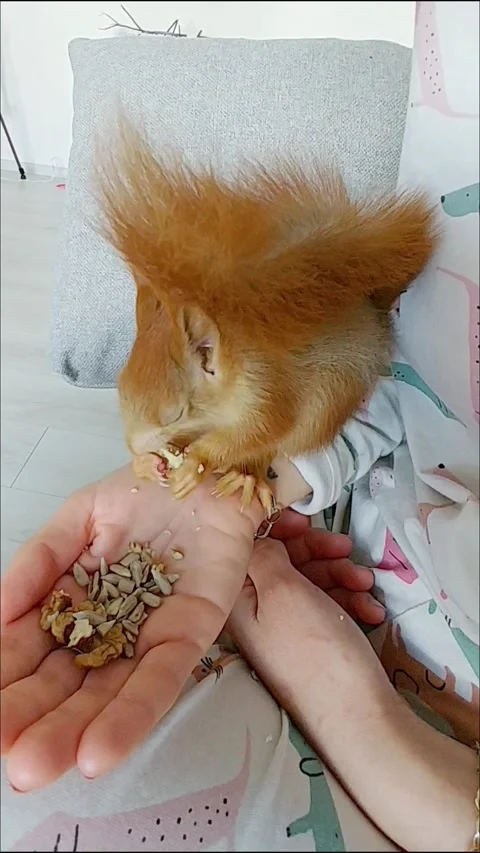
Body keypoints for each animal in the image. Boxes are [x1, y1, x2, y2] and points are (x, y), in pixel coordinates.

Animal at [97, 122, 438, 513]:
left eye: (176, 414)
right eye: (120, 387)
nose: (136, 446)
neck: (236, 364)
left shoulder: (268, 394)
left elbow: (256, 433)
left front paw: (199, 459)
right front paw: (145, 463)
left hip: (323, 407)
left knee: (273, 447)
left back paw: (249, 477)